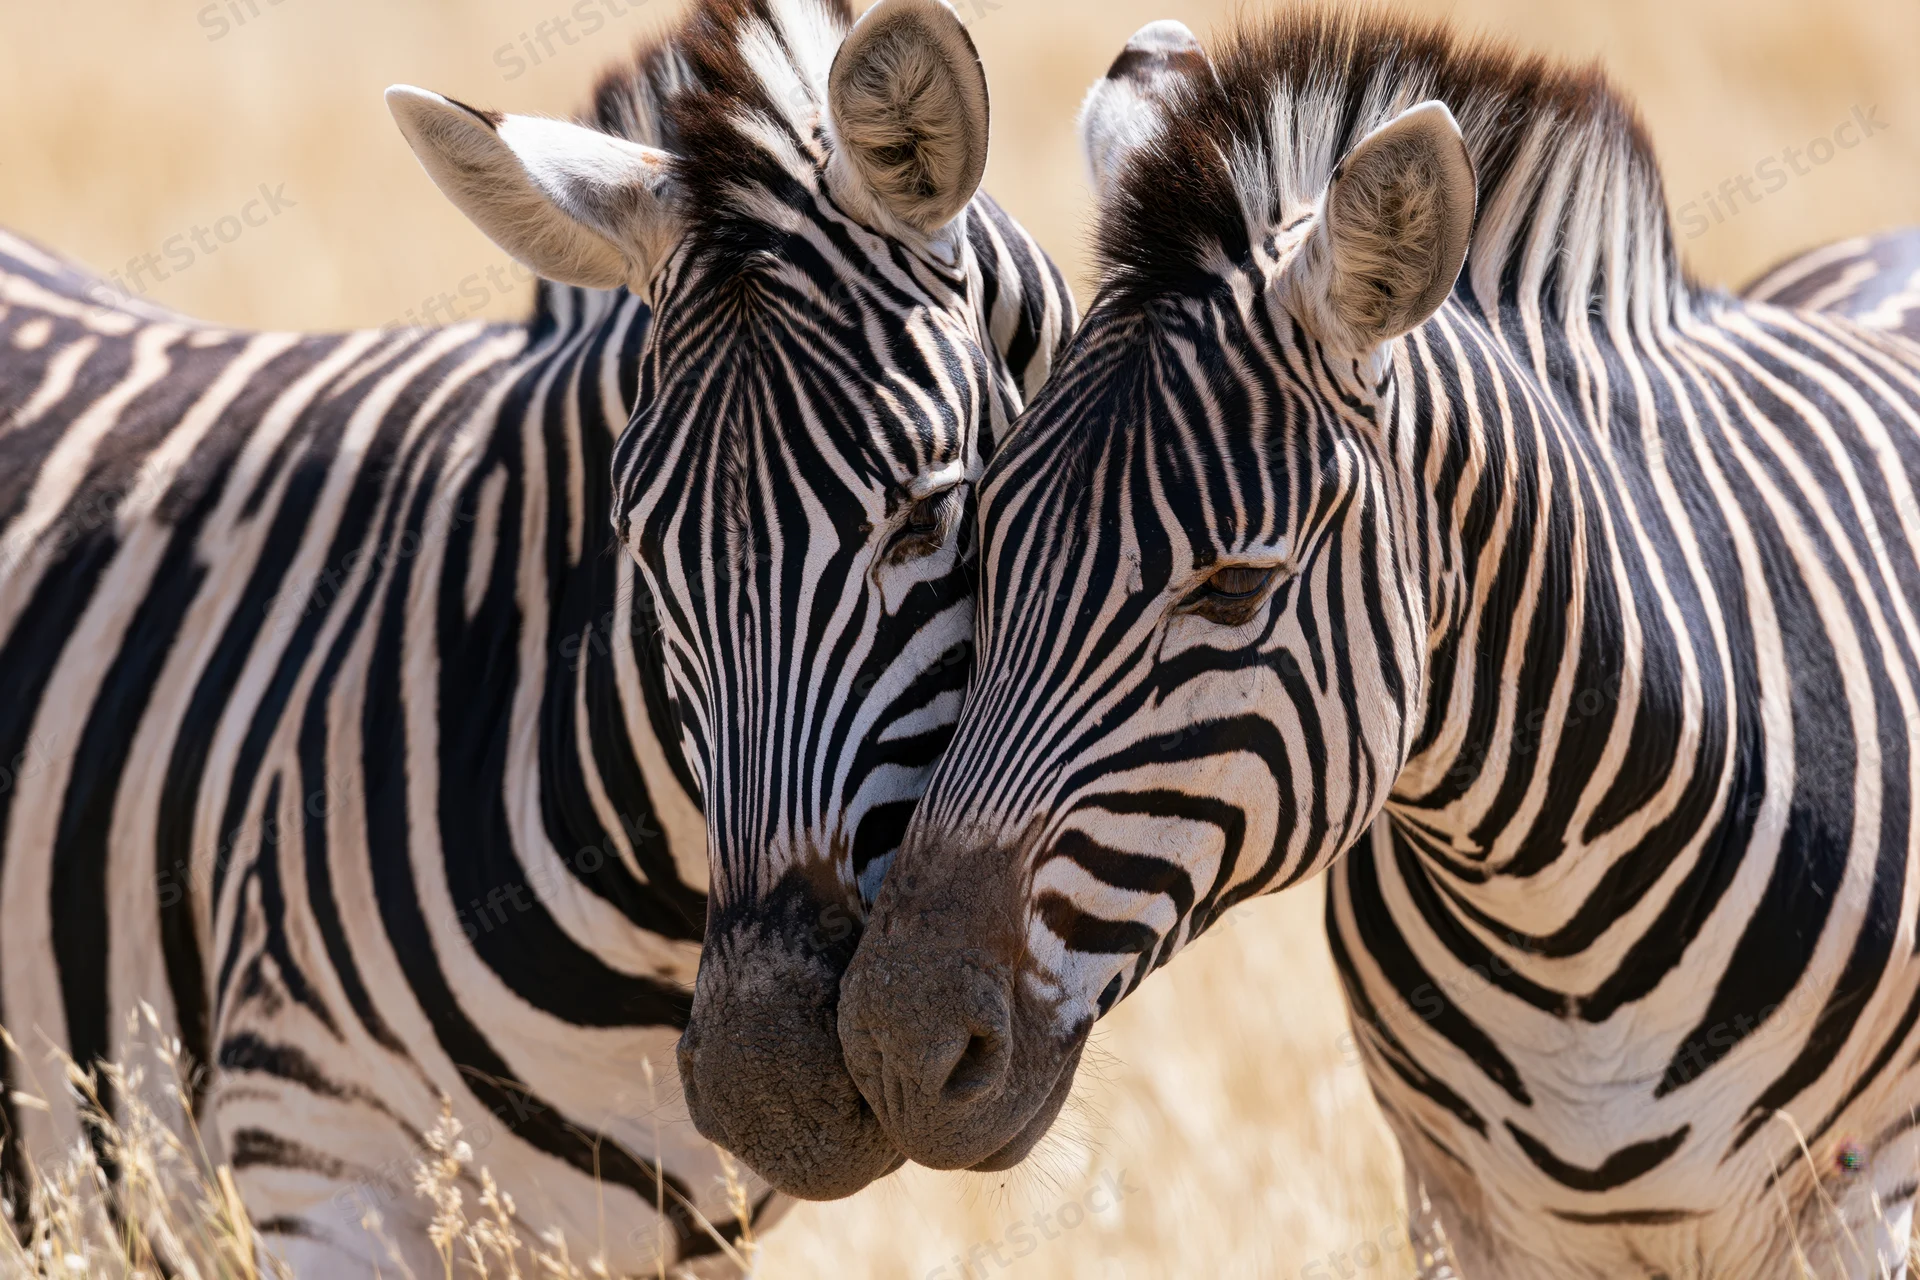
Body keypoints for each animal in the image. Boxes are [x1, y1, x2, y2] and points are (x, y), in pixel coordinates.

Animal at [833, 13, 1920, 1278]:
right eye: (978, 542)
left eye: (1237, 586)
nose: (896, 1045)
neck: (1564, 933)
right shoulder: (1458, 1207)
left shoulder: (1854, 1202)